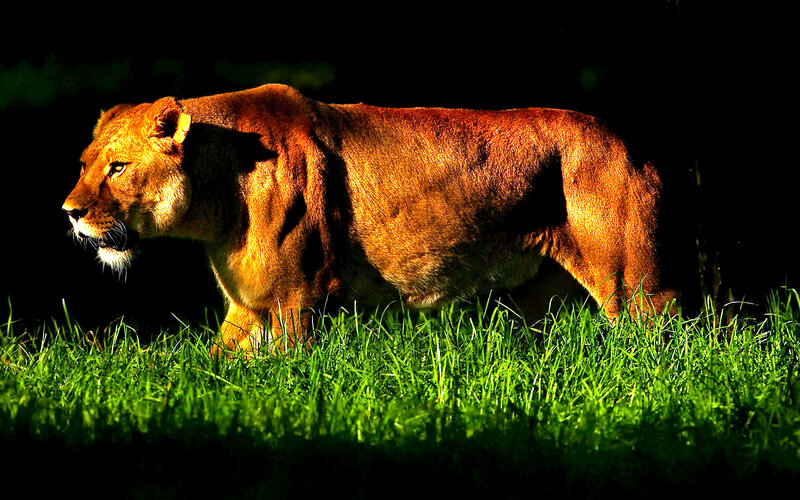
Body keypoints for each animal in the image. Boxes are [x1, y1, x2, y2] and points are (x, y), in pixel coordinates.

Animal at [62, 84, 678, 354]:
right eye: (84, 164)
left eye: (118, 167)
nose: (69, 213)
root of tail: (630, 142)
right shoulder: (248, 302)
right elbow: (215, 366)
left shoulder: (296, 298)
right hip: (537, 300)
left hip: (635, 285)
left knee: (669, 336)